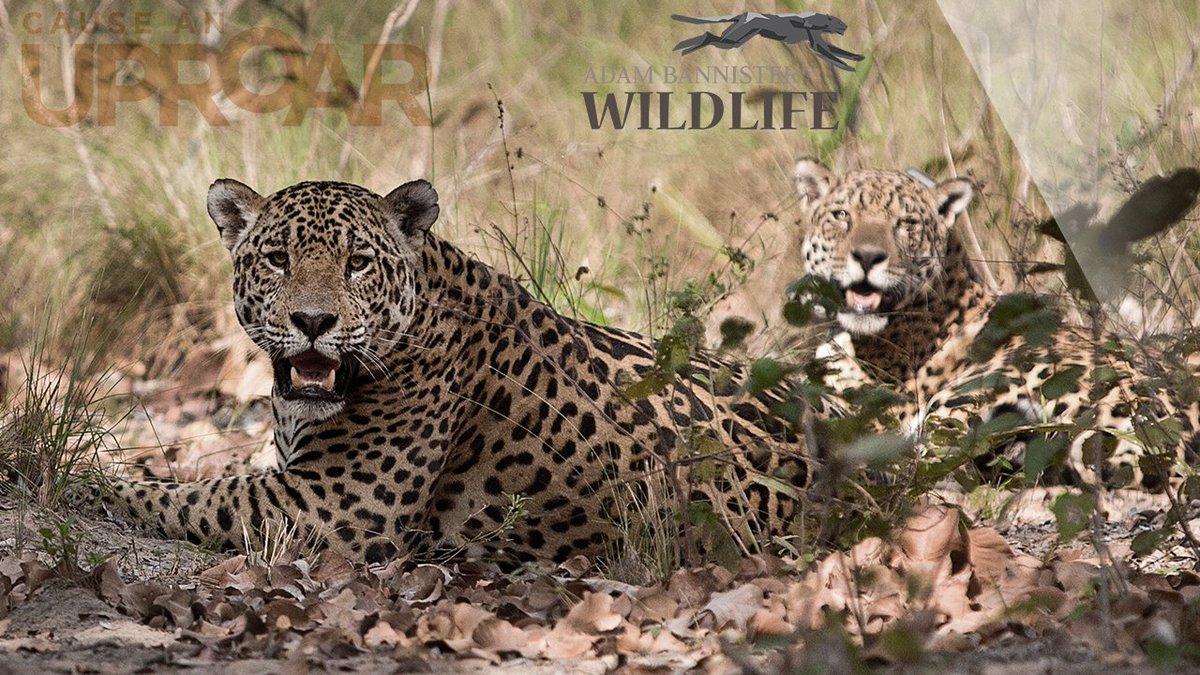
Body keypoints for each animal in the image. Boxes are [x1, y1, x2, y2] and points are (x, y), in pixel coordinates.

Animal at [92, 178, 823, 566]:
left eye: (358, 262)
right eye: (277, 259)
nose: (313, 321)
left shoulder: (332, 504)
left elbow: (188, 495)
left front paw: (79, 477)